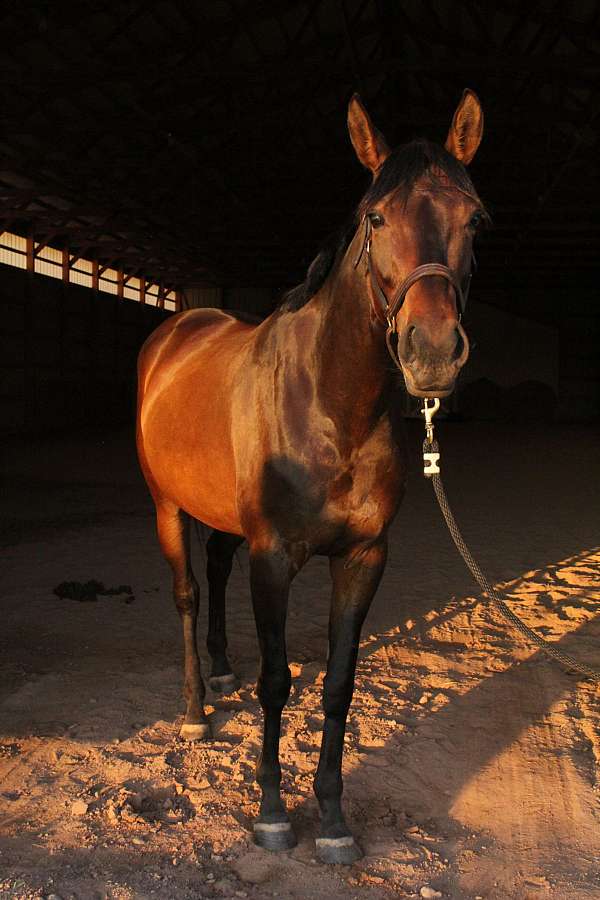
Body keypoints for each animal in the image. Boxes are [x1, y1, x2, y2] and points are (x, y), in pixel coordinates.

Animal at [136, 89, 485, 864]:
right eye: (375, 217)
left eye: (475, 217)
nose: (432, 352)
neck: (328, 406)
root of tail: (177, 330)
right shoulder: (274, 558)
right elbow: (276, 683)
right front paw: (271, 813)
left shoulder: (363, 557)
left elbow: (338, 684)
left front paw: (330, 818)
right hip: (167, 505)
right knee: (187, 593)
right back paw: (197, 707)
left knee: (215, 565)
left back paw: (220, 671)